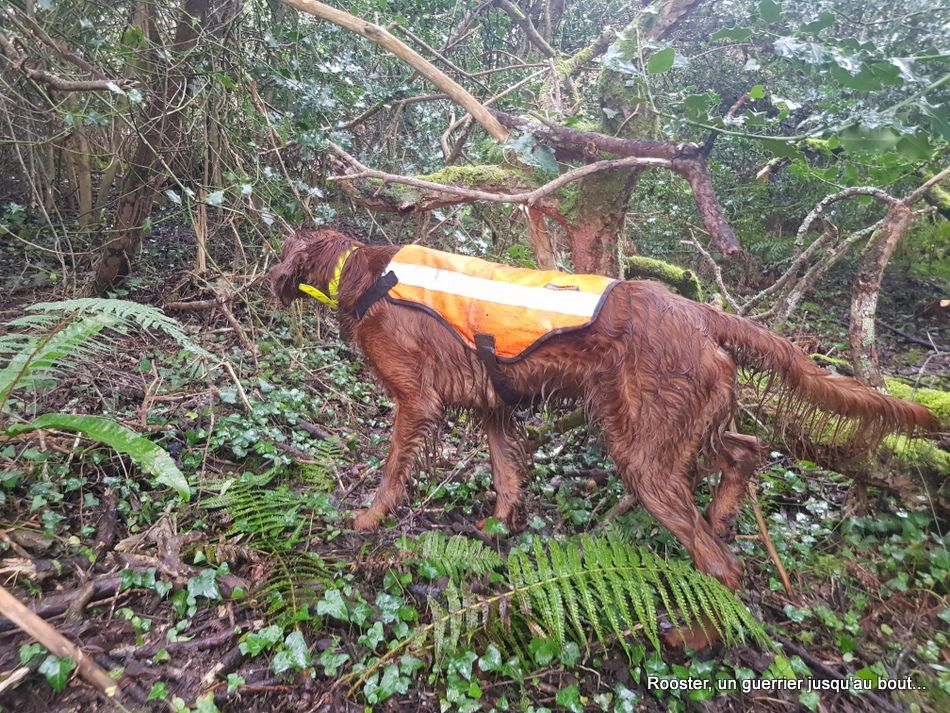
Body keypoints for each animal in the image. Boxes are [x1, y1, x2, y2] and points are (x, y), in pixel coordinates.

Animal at [272, 228, 940, 588]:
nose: (263, 281)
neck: (362, 274)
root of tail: (699, 311)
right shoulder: (492, 404)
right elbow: (506, 472)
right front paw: (498, 527)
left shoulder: (416, 400)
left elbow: (393, 470)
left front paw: (367, 520)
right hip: (681, 424)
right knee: (748, 449)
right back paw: (725, 514)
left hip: (643, 448)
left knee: (718, 562)